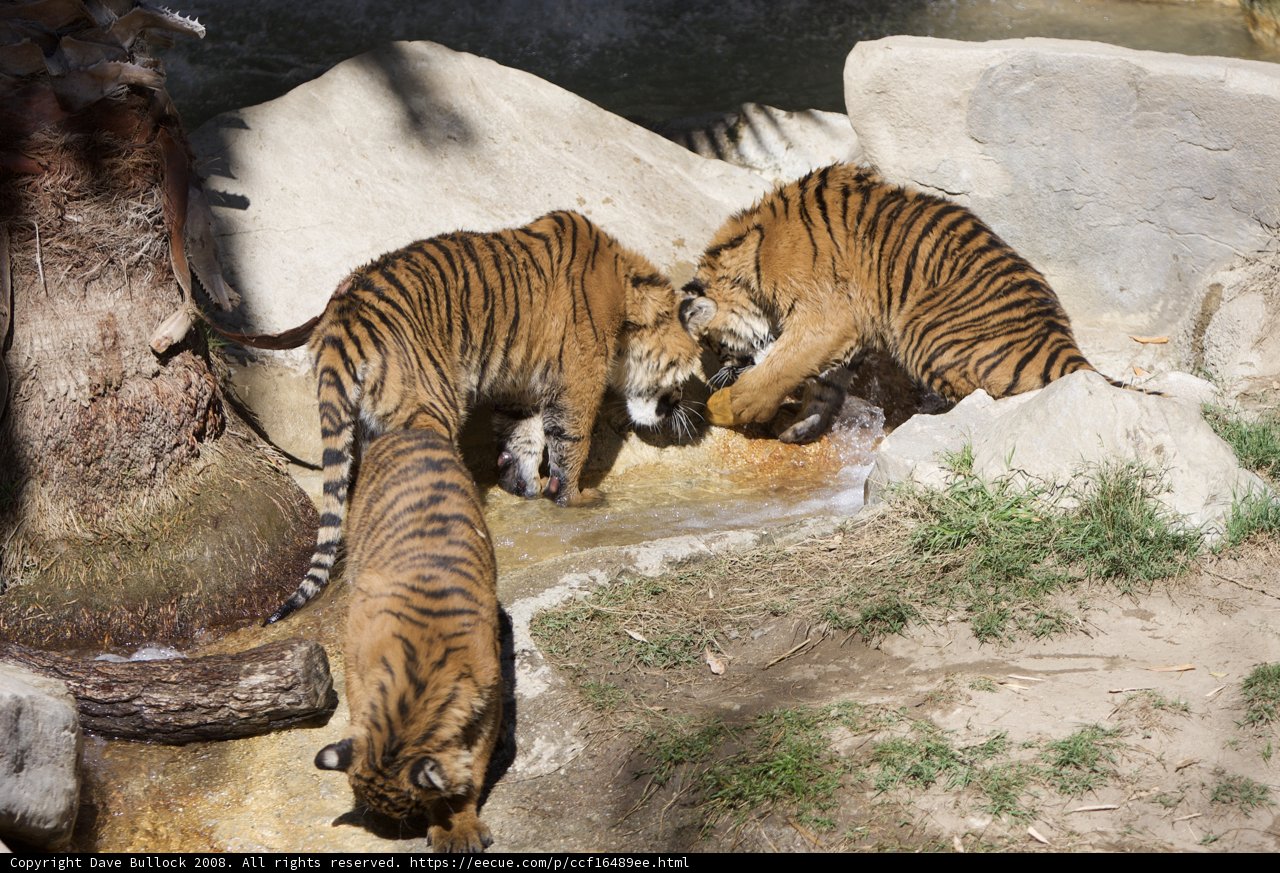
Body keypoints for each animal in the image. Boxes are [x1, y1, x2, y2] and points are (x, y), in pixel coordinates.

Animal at [257, 210, 715, 623]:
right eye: (683, 372)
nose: (680, 408)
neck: (627, 302)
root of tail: (341, 319)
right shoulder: (579, 381)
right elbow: (571, 442)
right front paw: (575, 499)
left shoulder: (521, 387)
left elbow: (524, 437)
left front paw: (523, 485)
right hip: (430, 409)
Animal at [314, 428, 502, 853]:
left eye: (406, 807)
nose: (382, 824)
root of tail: (414, 427)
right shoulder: (356, 669)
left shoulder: (488, 705)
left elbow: (472, 771)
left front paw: (458, 826)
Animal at [684, 162, 1108, 444]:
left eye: (715, 346)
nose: (722, 372)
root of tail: (1062, 344)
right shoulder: (843, 333)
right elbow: (822, 386)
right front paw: (799, 426)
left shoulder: (825, 316)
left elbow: (782, 366)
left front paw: (733, 405)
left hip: (920, 330)